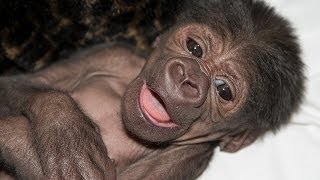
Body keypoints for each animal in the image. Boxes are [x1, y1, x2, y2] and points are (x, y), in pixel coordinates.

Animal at [0, 0, 304, 179]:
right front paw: (66, 131)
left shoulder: (189, 157)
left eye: (223, 90)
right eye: (195, 48)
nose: (188, 78)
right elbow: (19, 83)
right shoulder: (114, 53)